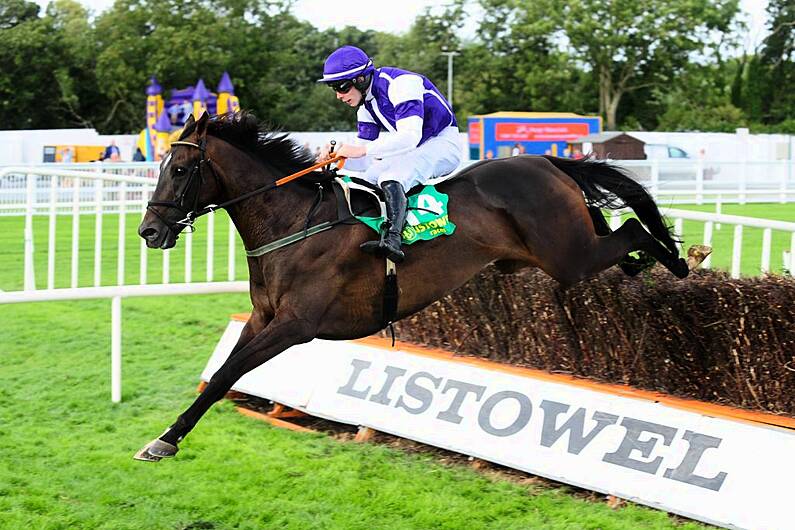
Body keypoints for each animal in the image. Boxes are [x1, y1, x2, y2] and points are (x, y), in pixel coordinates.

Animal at [137, 111, 704, 458]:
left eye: (180, 168)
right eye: (160, 164)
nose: (149, 231)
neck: (296, 223)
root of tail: (545, 158)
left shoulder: (297, 325)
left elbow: (229, 373)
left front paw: (165, 441)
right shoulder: (262, 318)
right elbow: (221, 374)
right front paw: (166, 437)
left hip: (568, 256)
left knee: (632, 230)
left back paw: (681, 260)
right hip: (554, 251)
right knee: (617, 238)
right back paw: (644, 264)